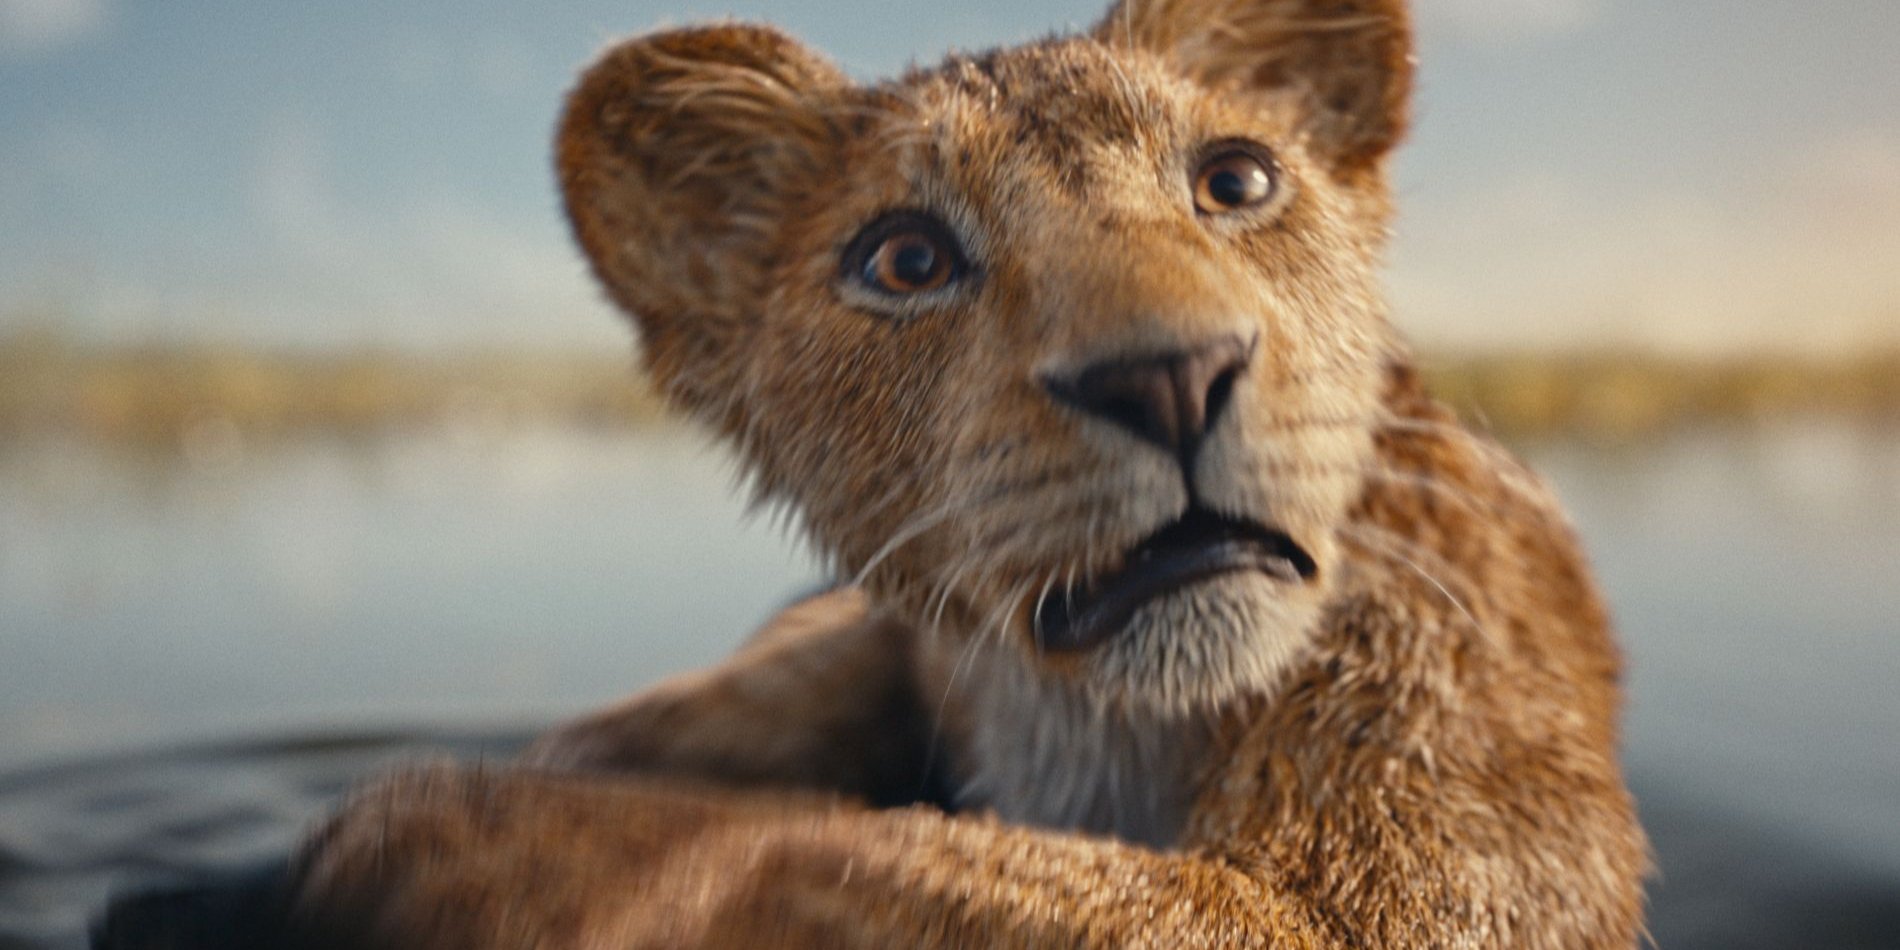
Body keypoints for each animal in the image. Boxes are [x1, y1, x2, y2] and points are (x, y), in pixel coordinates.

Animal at [97, 0, 1650, 946]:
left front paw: (420, 835)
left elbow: (801, 850)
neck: (1093, 720)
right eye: (906, 258)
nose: (1169, 375)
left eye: (1237, 180)